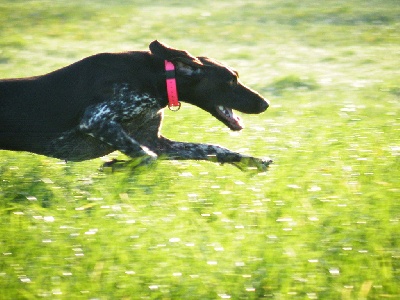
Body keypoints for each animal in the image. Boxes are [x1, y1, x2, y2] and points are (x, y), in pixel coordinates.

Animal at [0, 40, 272, 171]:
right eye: (231, 79)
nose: (266, 103)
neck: (157, 77)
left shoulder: (155, 140)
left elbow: (215, 149)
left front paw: (253, 161)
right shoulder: (96, 120)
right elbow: (148, 158)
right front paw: (115, 166)